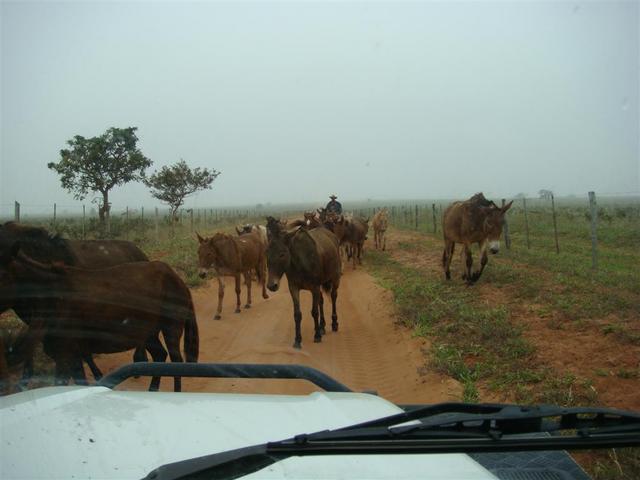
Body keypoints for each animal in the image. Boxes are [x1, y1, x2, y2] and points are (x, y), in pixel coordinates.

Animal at [0, 244, 199, 390]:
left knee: (176, 361)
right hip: (148, 333)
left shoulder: (65, 353)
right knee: (160, 355)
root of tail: (176, 276)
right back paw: (152, 390)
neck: (51, 296)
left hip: (171, 329)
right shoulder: (70, 354)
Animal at [264, 216, 342, 346]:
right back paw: (322, 326)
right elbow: (297, 314)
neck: (300, 263)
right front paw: (297, 339)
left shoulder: (314, 287)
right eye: (267, 253)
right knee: (321, 301)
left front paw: (317, 336)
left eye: (282, 254)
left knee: (334, 296)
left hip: (335, 278)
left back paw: (334, 323)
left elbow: (314, 312)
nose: (271, 285)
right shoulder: (294, 288)